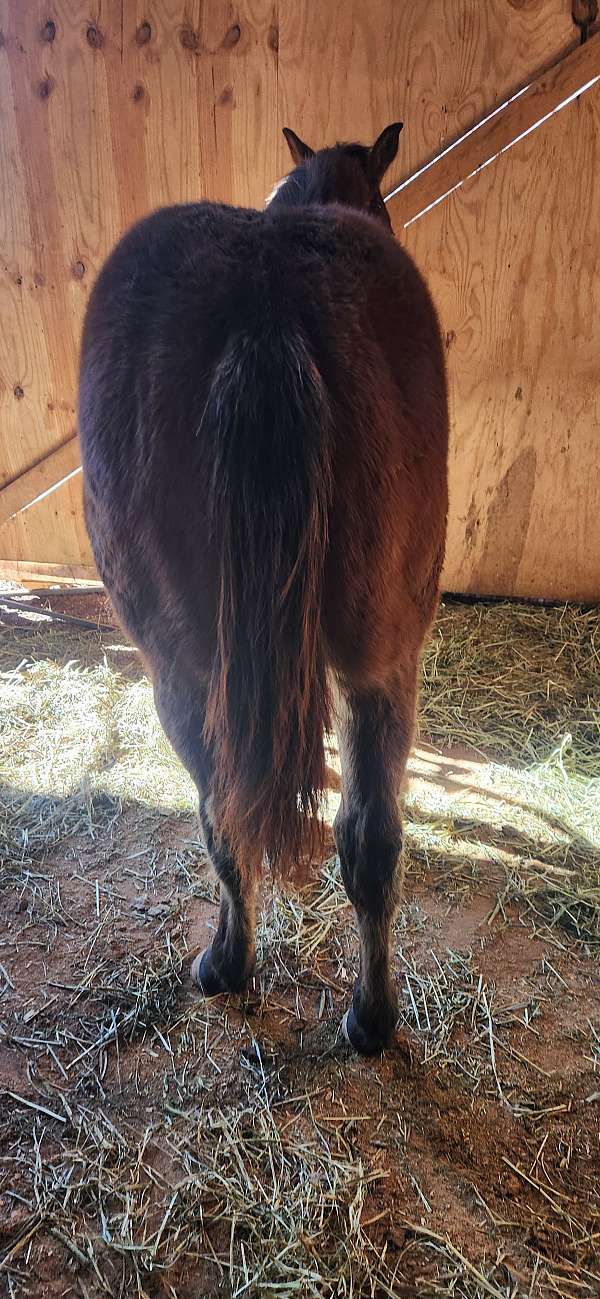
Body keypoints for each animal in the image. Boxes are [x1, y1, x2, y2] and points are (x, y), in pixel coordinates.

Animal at [77, 122, 446, 1054]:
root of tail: (265, 302)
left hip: (180, 667)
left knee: (223, 811)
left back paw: (229, 964)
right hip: (382, 665)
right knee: (370, 839)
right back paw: (370, 1016)